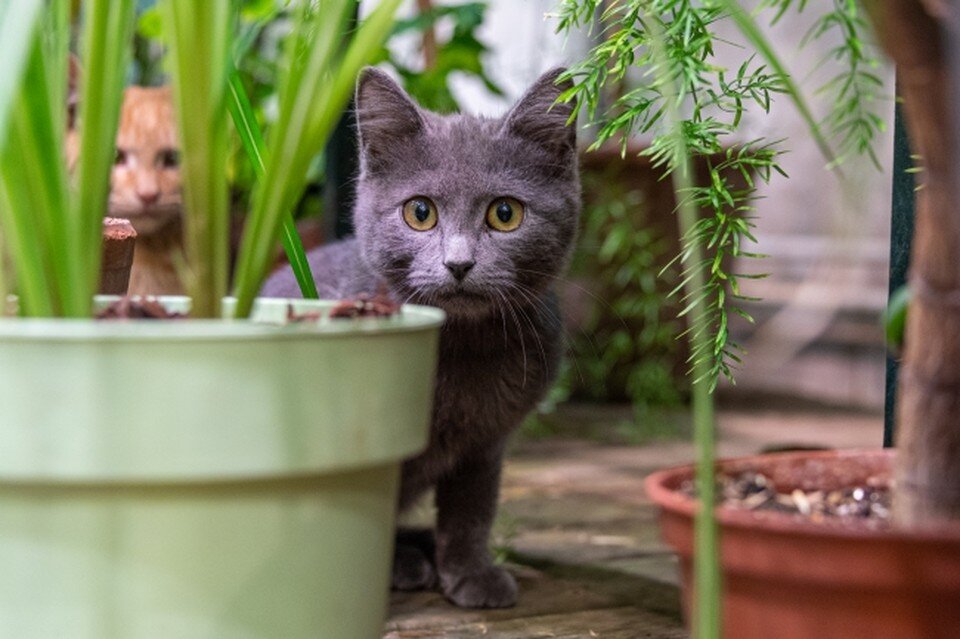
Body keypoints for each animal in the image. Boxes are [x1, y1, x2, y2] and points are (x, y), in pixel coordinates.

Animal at [258, 67, 580, 608]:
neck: (457, 349)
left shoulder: (486, 443)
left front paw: (471, 572)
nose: (459, 263)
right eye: (420, 212)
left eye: (505, 214)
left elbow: (472, 510)